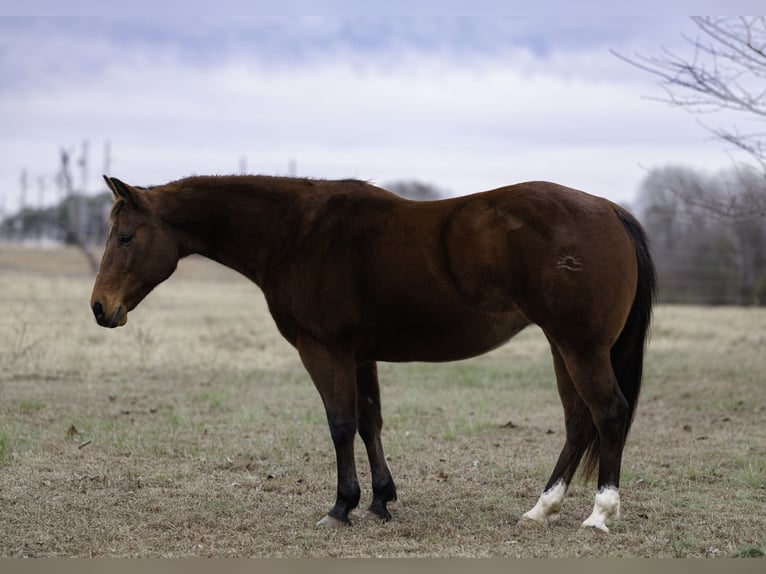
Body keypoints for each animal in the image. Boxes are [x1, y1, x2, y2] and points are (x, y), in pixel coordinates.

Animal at [90, 174, 656, 532]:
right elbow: (369, 423)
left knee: (609, 414)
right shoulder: (360, 357)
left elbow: (340, 425)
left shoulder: (325, 352)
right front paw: (381, 501)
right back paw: (543, 508)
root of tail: (609, 209)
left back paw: (599, 514)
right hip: (565, 348)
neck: (297, 234)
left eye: (126, 236)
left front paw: (342, 507)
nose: (100, 308)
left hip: (581, 348)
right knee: (579, 422)